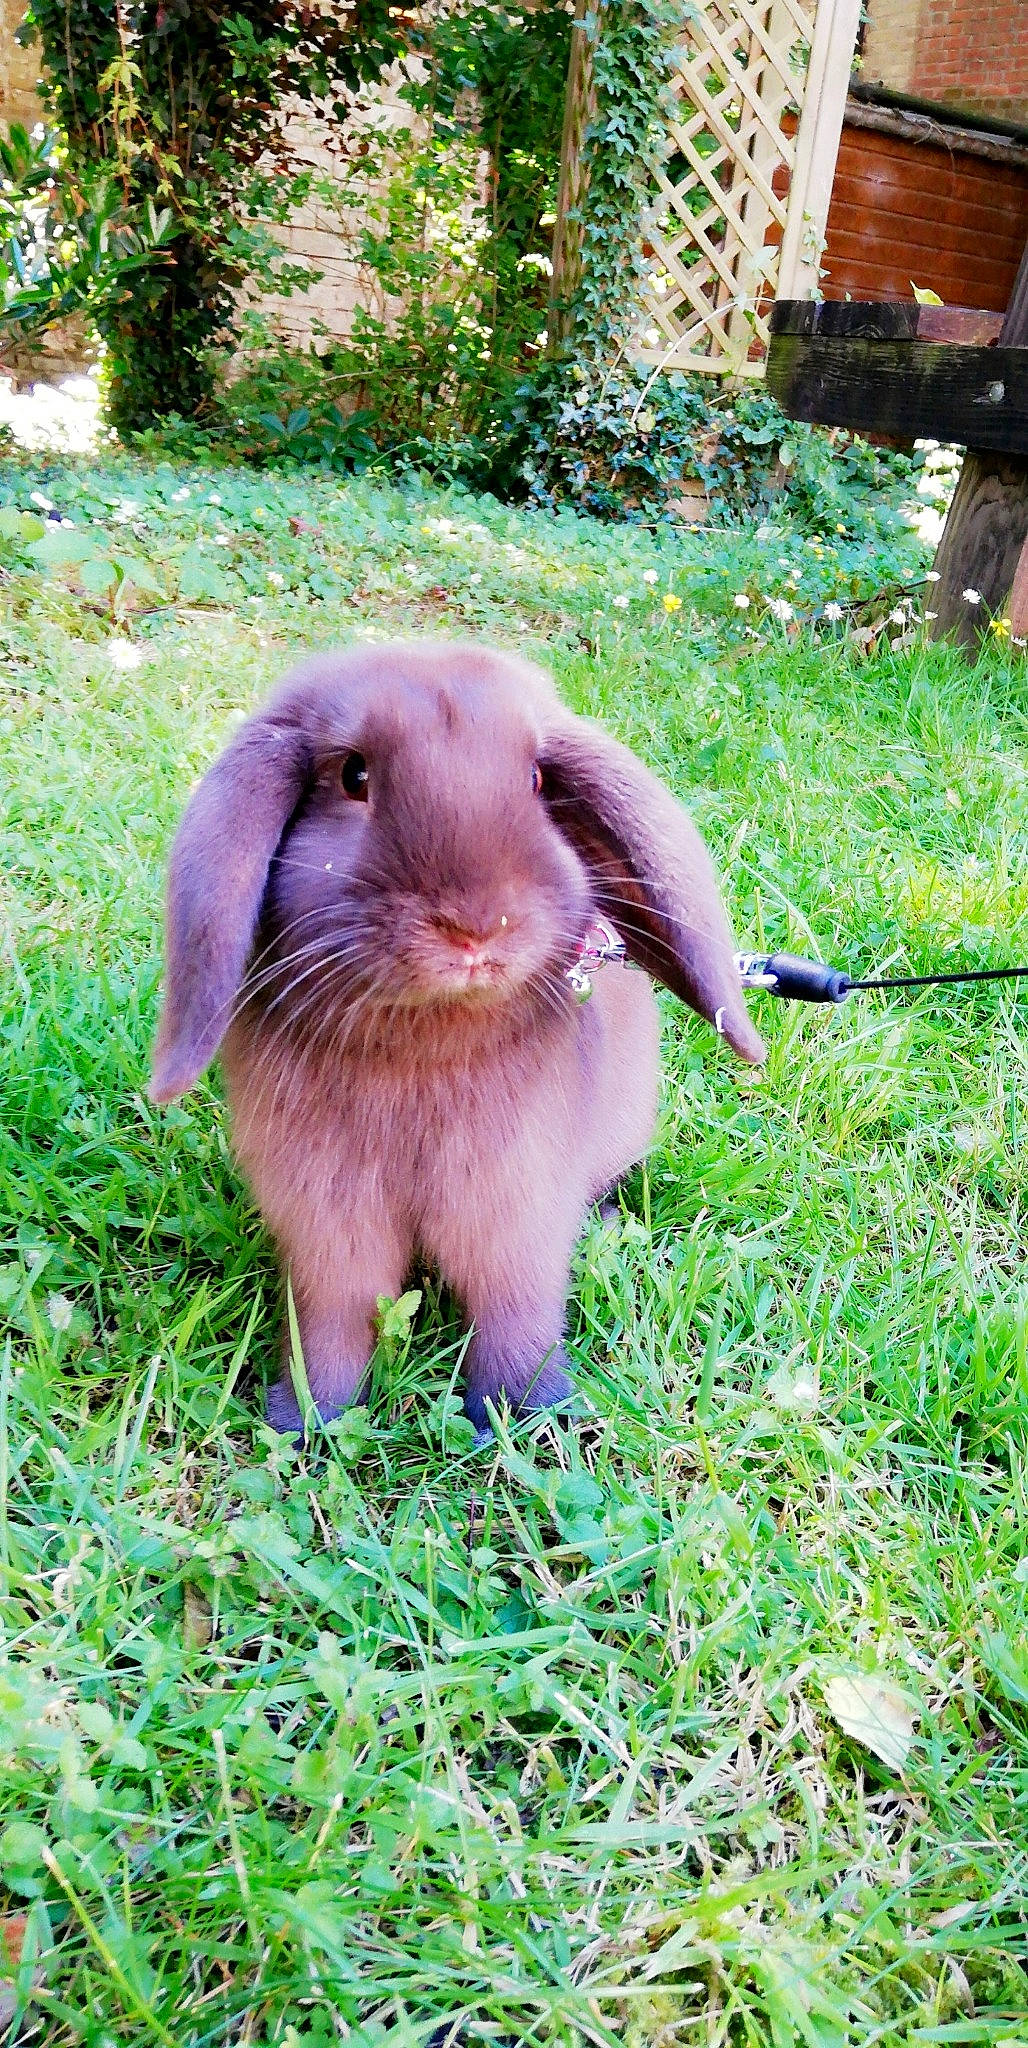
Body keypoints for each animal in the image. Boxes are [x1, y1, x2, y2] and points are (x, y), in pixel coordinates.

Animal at [150, 641, 764, 1436]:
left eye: (537, 780)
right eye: (353, 775)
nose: (475, 928)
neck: (422, 1045)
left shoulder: (516, 1212)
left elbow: (516, 1310)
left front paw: (523, 1414)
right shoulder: (329, 1229)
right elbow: (330, 1318)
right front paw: (308, 1419)